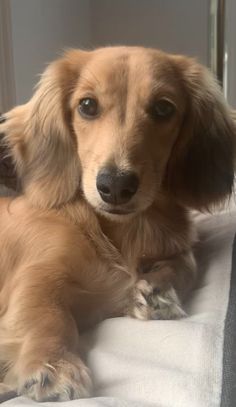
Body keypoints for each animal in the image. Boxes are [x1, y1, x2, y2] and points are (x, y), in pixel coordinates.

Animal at [0, 47, 235, 402]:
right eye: (87, 105)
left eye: (164, 108)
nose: (115, 186)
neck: (125, 231)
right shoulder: (37, 273)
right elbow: (47, 315)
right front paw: (52, 364)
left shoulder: (176, 245)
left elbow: (186, 264)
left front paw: (158, 291)